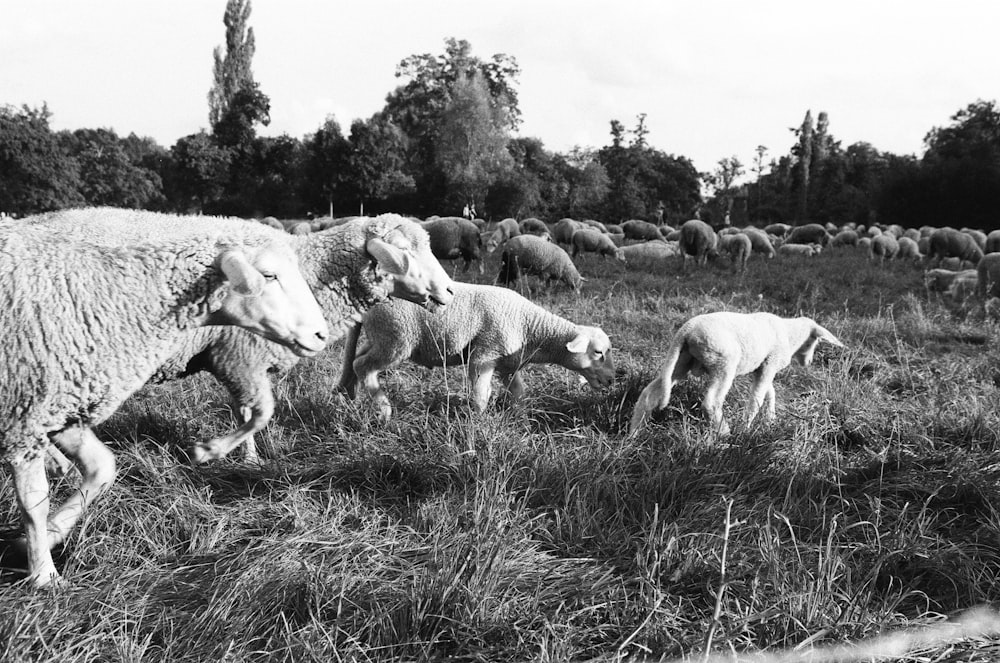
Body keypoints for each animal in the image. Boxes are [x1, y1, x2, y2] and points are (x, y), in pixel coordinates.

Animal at [0, 206, 332, 588]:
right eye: (269, 275)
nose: (321, 335)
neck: (111, 298)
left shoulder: (65, 408)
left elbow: (103, 470)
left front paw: (48, 534)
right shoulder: (24, 417)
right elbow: (34, 502)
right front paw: (44, 574)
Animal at [149, 215, 458, 464]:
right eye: (404, 249)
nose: (450, 291)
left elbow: (245, 412)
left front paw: (245, 457)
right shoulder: (239, 356)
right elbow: (252, 413)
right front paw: (238, 456)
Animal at [340, 282, 612, 420]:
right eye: (598, 352)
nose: (612, 380)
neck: (530, 326)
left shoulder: (508, 363)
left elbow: (518, 393)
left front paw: (519, 418)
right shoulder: (484, 354)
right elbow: (481, 395)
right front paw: (478, 425)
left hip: (380, 337)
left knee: (356, 358)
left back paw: (351, 395)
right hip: (396, 339)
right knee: (362, 365)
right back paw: (384, 410)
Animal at [632, 310, 844, 436]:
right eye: (815, 341)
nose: (808, 363)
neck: (789, 334)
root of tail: (686, 331)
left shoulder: (762, 367)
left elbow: (769, 392)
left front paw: (770, 418)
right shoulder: (770, 363)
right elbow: (757, 398)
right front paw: (746, 428)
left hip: (681, 362)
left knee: (648, 394)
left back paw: (634, 433)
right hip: (724, 362)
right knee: (711, 402)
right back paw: (725, 433)